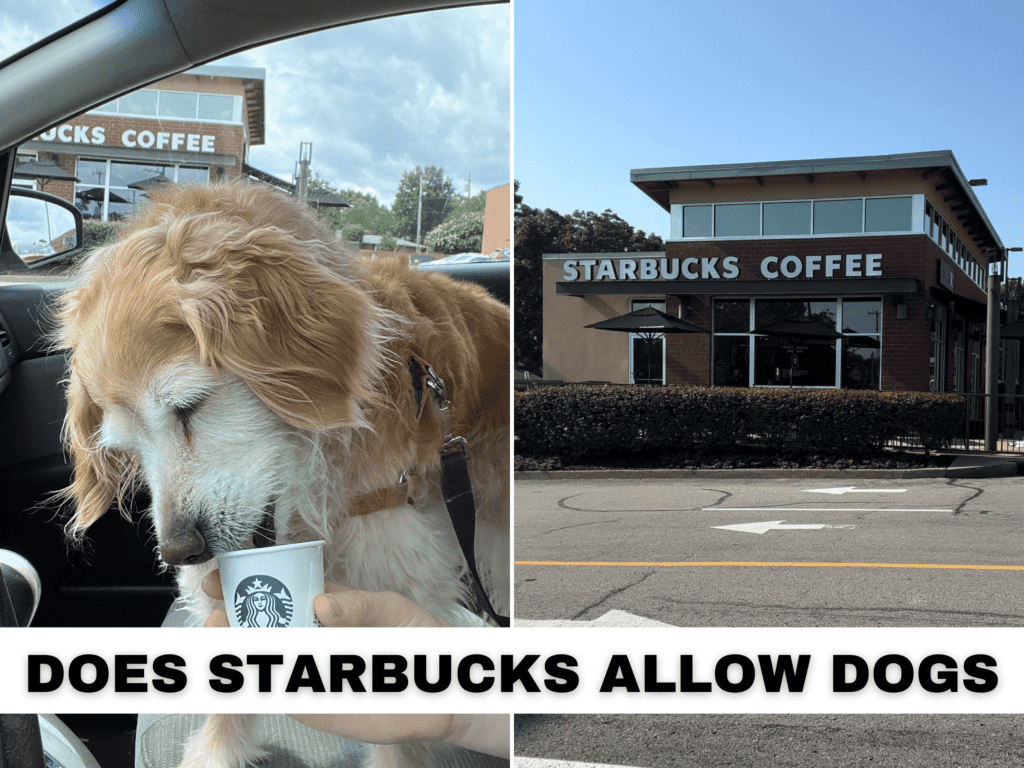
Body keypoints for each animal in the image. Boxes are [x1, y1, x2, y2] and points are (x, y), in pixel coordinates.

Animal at [54, 182, 509, 768]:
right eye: (128, 445)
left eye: (188, 407)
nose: (180, 551)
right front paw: (216, 753)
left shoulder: (394, 567)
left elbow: (399, 736)